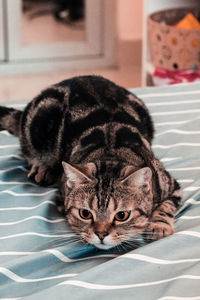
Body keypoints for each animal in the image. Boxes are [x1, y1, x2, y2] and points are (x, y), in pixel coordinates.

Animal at [0, 75, 181, 251]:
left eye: (122, 215)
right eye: (85, 214)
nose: (101, 234)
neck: (110, 153)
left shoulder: (171, 184)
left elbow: (166, 207)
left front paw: (159, 226)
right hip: (38, 123)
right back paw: (43, 168)